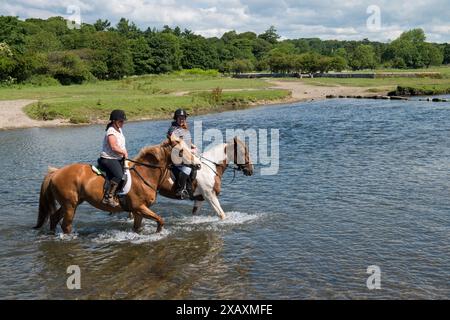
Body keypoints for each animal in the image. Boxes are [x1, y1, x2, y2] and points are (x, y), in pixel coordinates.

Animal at [32, 136, 200, 234]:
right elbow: (160, 220)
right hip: (70, 205)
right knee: (65, 225)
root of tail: (55, 173)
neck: (145, 174)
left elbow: (138, 228)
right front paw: (158, 234)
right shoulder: (139, 207)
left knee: (54, 218)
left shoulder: (138, 211)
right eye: (181, 151)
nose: (198, 164)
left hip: (71, 203)